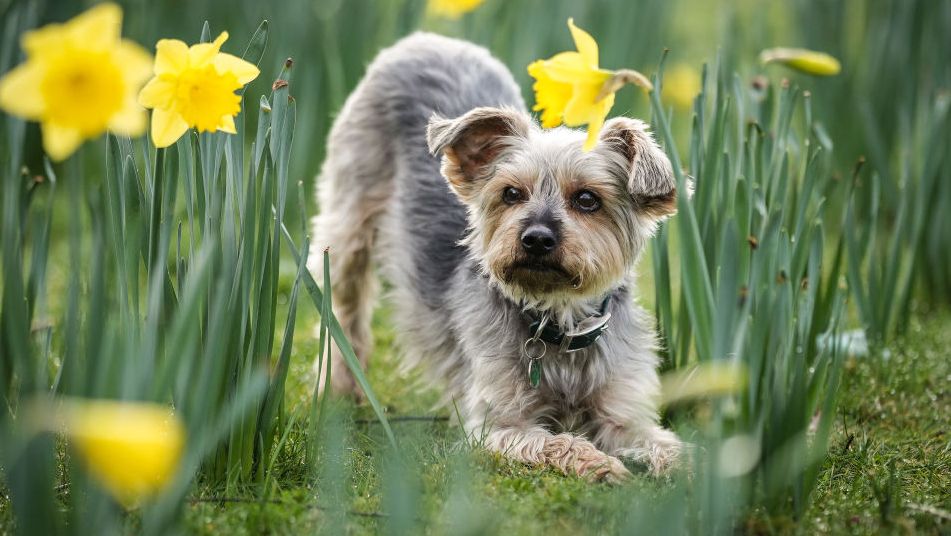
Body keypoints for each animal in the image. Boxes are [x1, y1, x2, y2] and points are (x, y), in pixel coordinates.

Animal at [314, 31, 684, 480]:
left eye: (587, 199)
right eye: (511, 193)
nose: (536, 238)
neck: (557, 321)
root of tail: (426, 39)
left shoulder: (622, 409)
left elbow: (656, 440)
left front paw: (690, 466)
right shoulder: (498, 425)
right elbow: (555, 441)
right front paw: (599, 462)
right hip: (348, 218)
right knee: (343, 302)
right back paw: (340, 386)